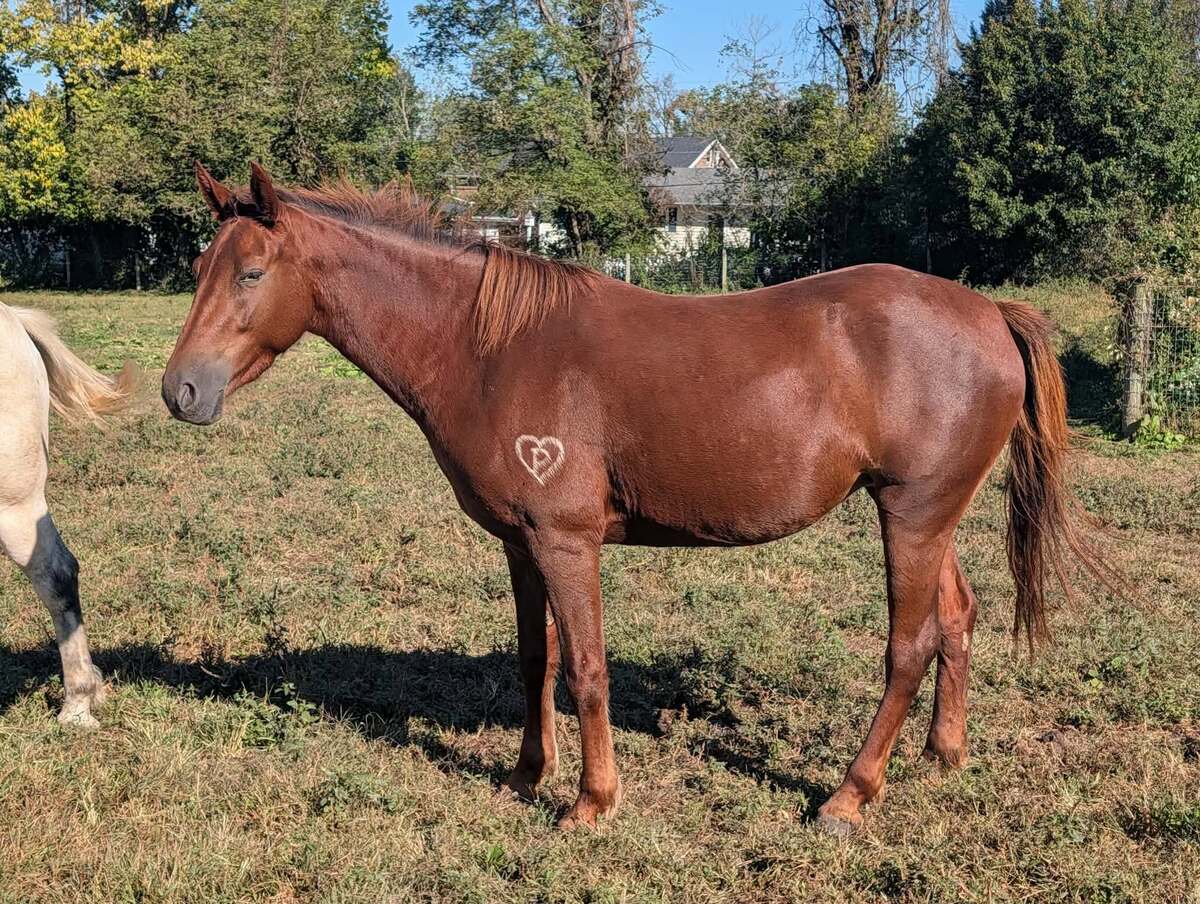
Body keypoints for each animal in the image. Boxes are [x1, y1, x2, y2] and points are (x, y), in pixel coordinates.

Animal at [162, 162, 1112, 834]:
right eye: (201, 265)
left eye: (252, 273)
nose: (181, 392)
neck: (489, 347)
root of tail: (988, 312)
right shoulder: (520, 544)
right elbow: (535, 661)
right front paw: (525, 774)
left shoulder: (566, 540)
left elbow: (586, 670)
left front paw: (592, 801)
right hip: (925, 515)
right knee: (957, 618)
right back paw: (944, 754)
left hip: (911, 517)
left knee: (908, 648)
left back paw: (849, 796)